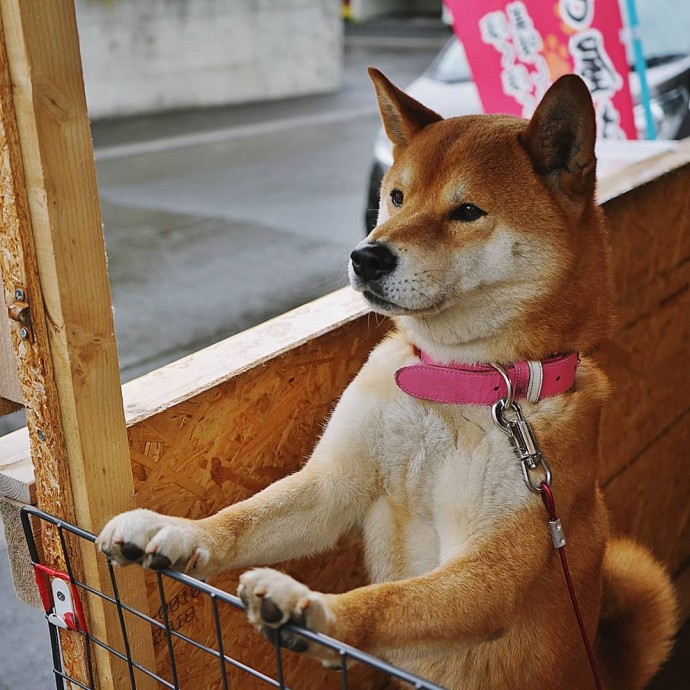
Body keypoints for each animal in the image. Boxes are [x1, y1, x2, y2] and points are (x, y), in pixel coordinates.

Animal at [97, 71, 676, 688]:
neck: (453, 382)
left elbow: (390, 601)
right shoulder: (334, 484)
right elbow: (243, 517)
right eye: (396, 197)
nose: (366, 256)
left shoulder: (495, 566)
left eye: (467, 211)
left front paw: (314, 609)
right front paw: (176, 530)